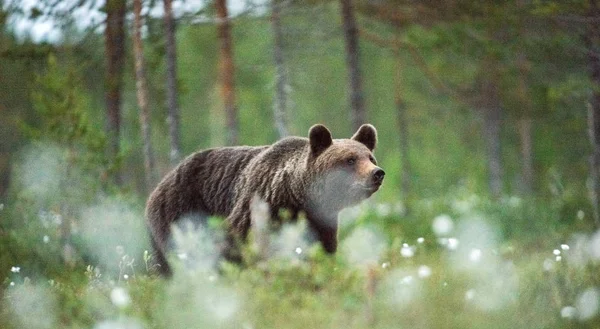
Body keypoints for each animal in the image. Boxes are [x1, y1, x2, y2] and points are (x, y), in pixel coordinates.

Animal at [148, 123, 386, 274]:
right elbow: (234, 247)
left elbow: (321, 250)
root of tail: (159, 185)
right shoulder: (258, 207)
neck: (295, 196)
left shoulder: (319, 222)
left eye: (370, 157)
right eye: (350, 160)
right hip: (179, 212)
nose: (377, 173)